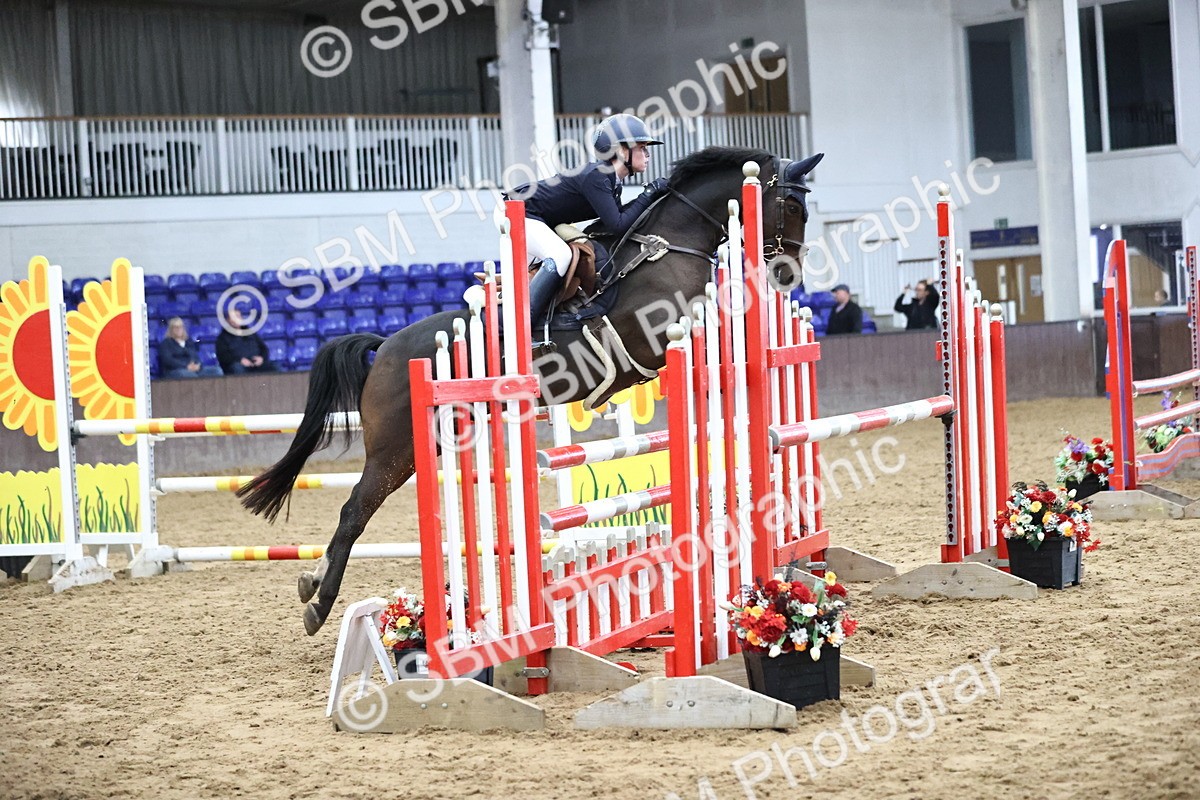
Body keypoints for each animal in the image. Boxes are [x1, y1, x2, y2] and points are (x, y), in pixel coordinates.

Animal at [237, 146, 823, 635]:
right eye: (793, 206)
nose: (787, 274)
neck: (668, 245)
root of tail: (386, 348)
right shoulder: (660, 336)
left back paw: (316, 586)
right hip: (395, 449)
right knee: (354, 511)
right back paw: (318, 603)